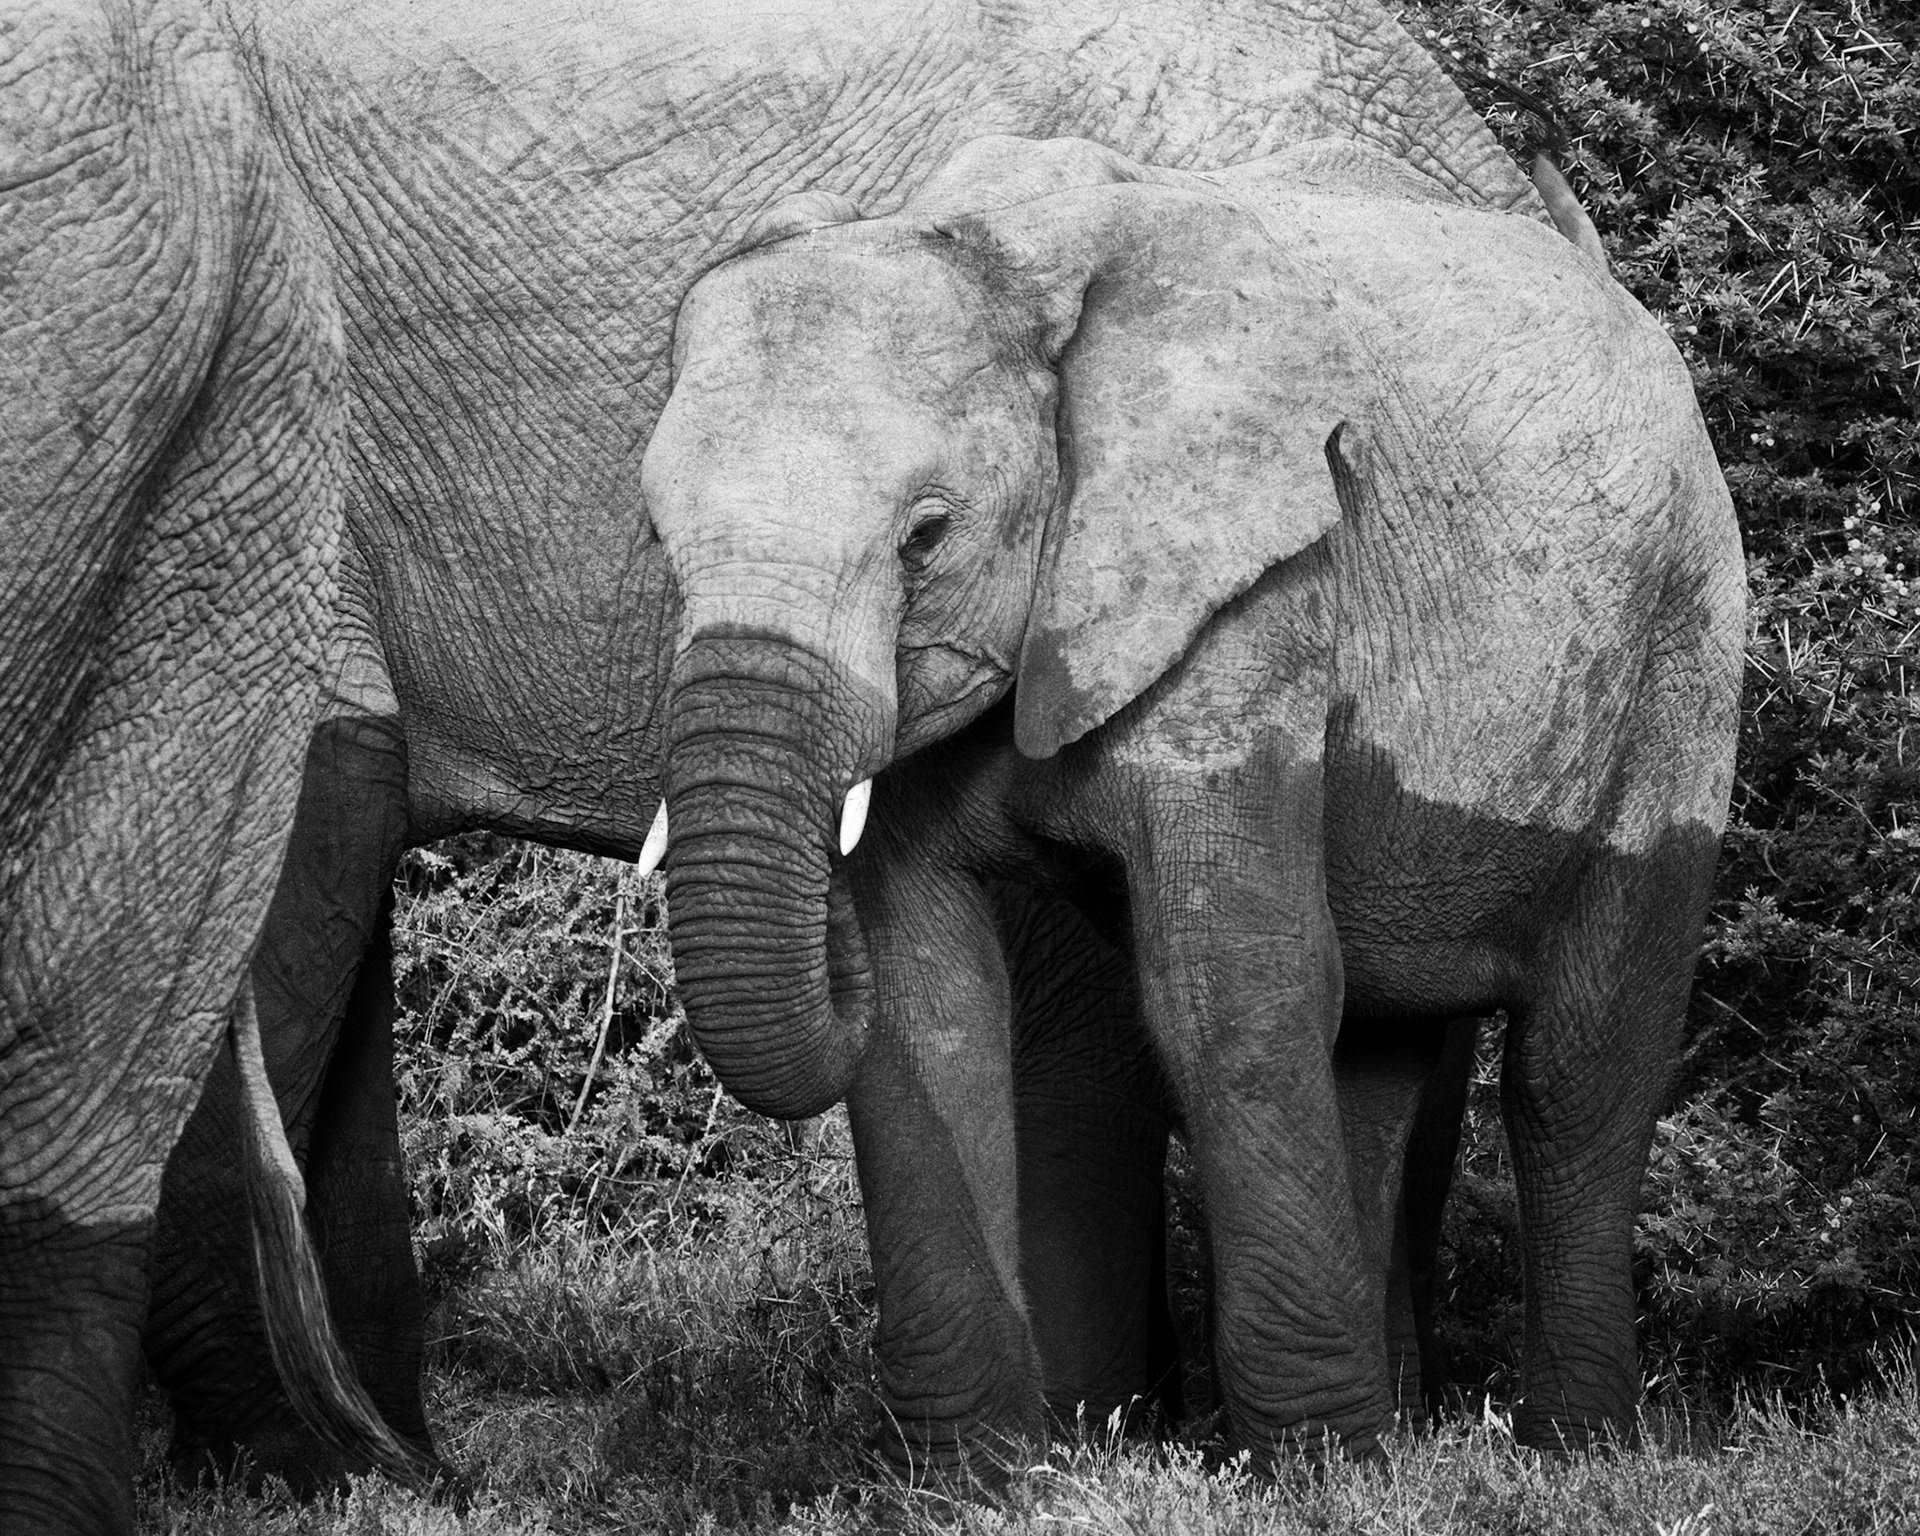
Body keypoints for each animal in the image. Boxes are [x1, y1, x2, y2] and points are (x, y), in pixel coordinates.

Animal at [633, 131, 1747, 1463]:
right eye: (657, 539)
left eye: (927, 537)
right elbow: (927, 1003)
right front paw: (974, 1474)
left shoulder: (1261, 578)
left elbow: (1230, 985)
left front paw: (1313, 1471)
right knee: (1374, 1050)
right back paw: (1405, 1436)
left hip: (1683, 644)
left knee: (1579, 1067)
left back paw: (1575, 1448)